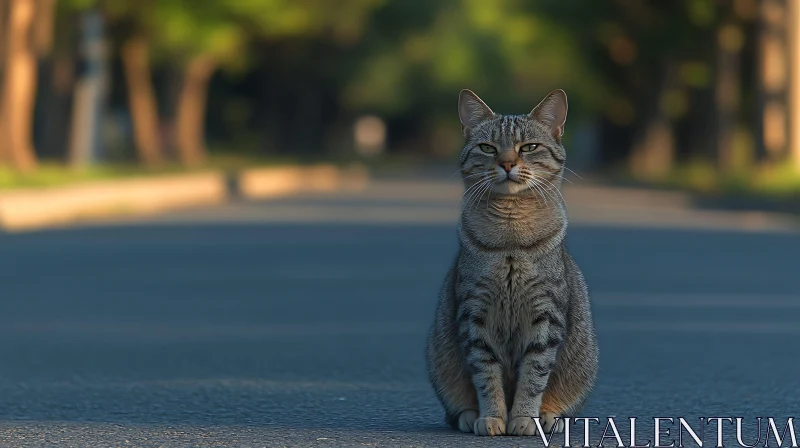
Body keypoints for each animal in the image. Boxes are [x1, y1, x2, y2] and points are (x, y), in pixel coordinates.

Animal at [428, 88, 596, 438]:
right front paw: (492, 417)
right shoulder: (473, 314)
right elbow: (486, 375)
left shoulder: (547, 314)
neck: (511, 238)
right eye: (487, 148)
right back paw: (468, 416)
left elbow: (534, 374)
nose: (506, 163)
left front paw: (523, 418)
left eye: (528, 147)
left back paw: (549, 416)